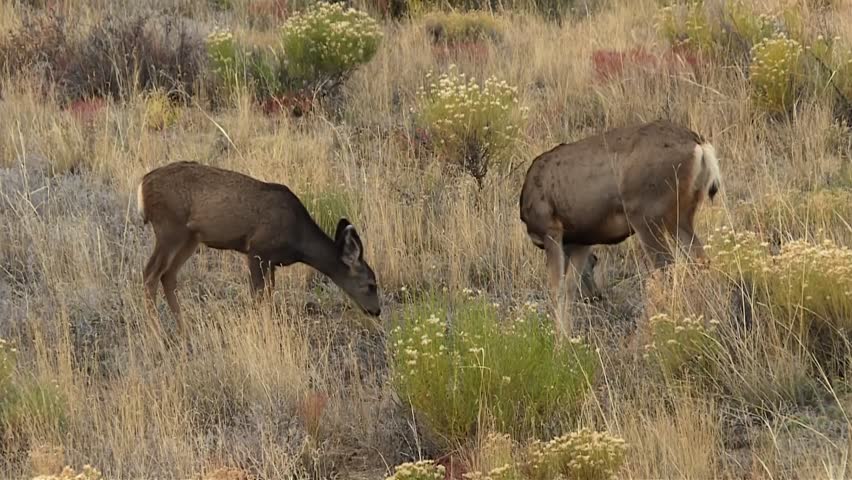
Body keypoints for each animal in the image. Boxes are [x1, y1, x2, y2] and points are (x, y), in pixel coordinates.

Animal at [136, 161, 381, 336]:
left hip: (190, 237)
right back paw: (156, 334)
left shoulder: (271, 262)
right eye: (370, 284)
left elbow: (268, 295)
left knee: (168, 275)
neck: (298, 239)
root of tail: (143, 184)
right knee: (150, 273)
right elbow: (257, 296)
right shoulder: (257, 251)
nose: (376, 311)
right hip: (170, 228)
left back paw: (183, 329)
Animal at [519, 119, 721, 313]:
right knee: (699, 259)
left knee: (668, 266)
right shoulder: (581, 240)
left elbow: (557, 291)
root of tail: (699, 144)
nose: (595, 296)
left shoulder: (551, 230)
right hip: (681, 214)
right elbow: (569, 288)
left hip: (646, 213)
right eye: (594, 262)